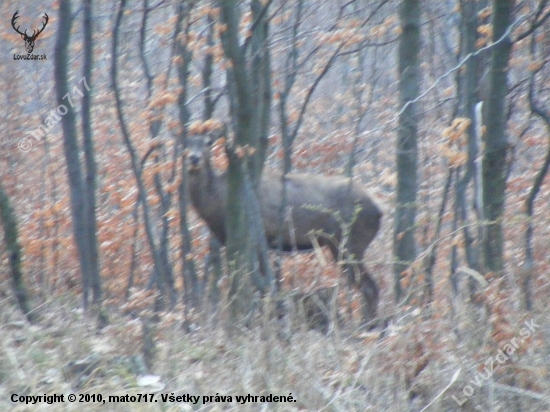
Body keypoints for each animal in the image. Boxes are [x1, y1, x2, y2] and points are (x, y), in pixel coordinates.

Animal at [187, 130, 384, 326]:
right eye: (185, 143)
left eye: (208, 143)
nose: (194, 158)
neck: (218, 202)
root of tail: (380, 209)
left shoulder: (256, 237)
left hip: (350, 241)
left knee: (369, 287)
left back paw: (368, 326)